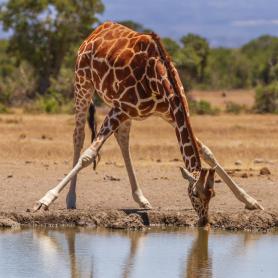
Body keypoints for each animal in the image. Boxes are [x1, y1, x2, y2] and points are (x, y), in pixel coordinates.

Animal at [33, 21, 264, 226]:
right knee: (79, 135)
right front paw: (44, 201)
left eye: (213, 194)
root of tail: (95, 32)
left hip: (125, 111)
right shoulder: (120, 107)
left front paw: (250, 201)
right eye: (195, 194)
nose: (204, 221)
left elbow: (208, 152)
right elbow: (88, 155)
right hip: (83, 85)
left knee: (123, 140)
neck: (159, 77)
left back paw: (141, 198)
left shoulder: (168, 114)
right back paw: (71, 199)